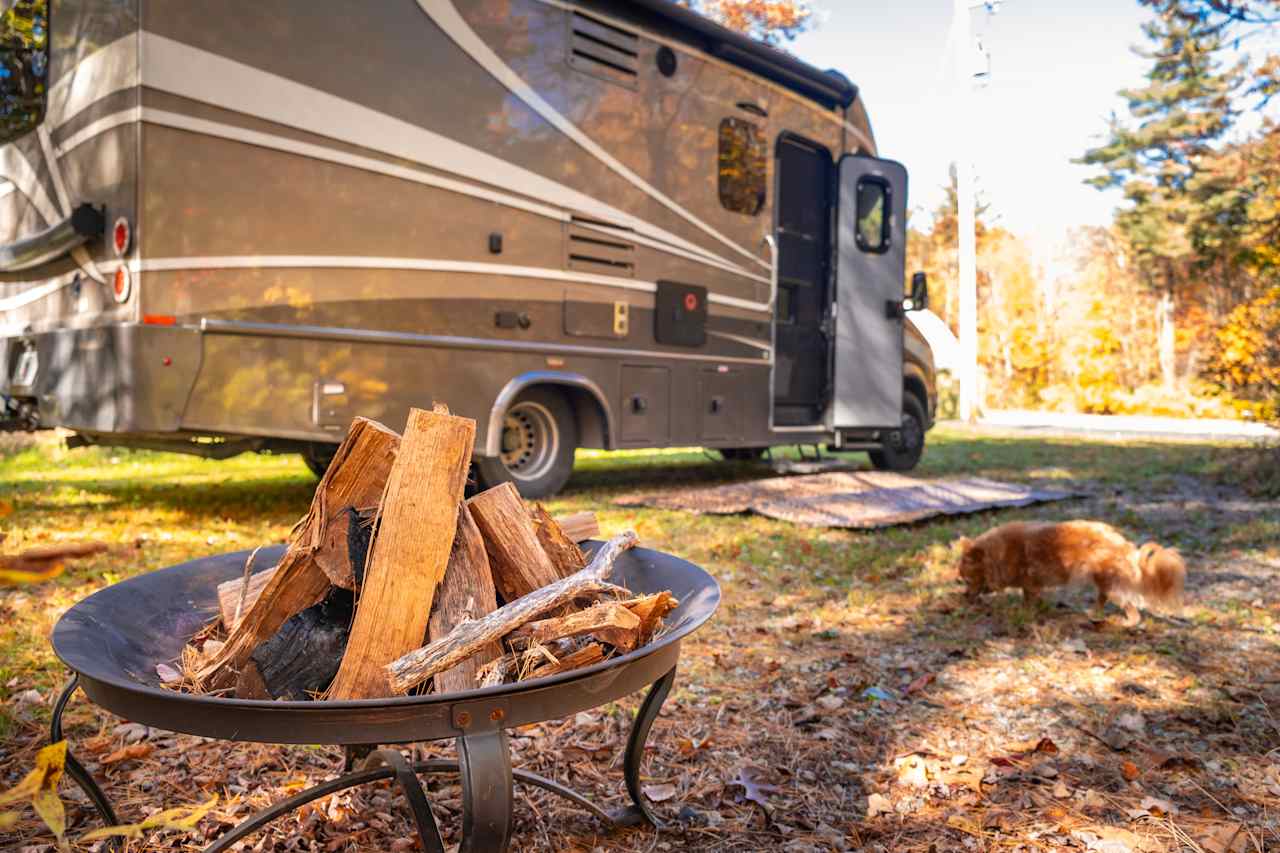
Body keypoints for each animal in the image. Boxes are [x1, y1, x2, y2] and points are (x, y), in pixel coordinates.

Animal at [957, 517, 1182, 625]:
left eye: (967, 580)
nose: (965, 596)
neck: (999, 553)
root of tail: (1126, 546)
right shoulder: (1033, 586)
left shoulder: (1030, 583)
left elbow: (1028, 601)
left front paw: (1025, 613)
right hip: (1103, 582)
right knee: (1102, 598)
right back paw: (1093, 614)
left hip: (1114, 587)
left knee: (1133, 612)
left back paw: (1123, 623)